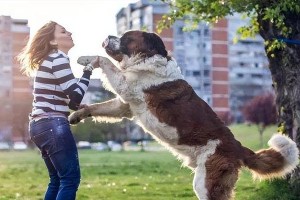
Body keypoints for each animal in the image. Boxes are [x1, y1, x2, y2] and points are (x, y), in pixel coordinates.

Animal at [68, 30, 300, 200]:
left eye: (125, 37)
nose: (108, 35)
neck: (147, 59)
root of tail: (238, 147)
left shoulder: (127, 86)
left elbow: (104, 61)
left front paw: (85, 58)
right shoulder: (126, 105)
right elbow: (100, 107)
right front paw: (77, 115)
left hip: (206, 183)